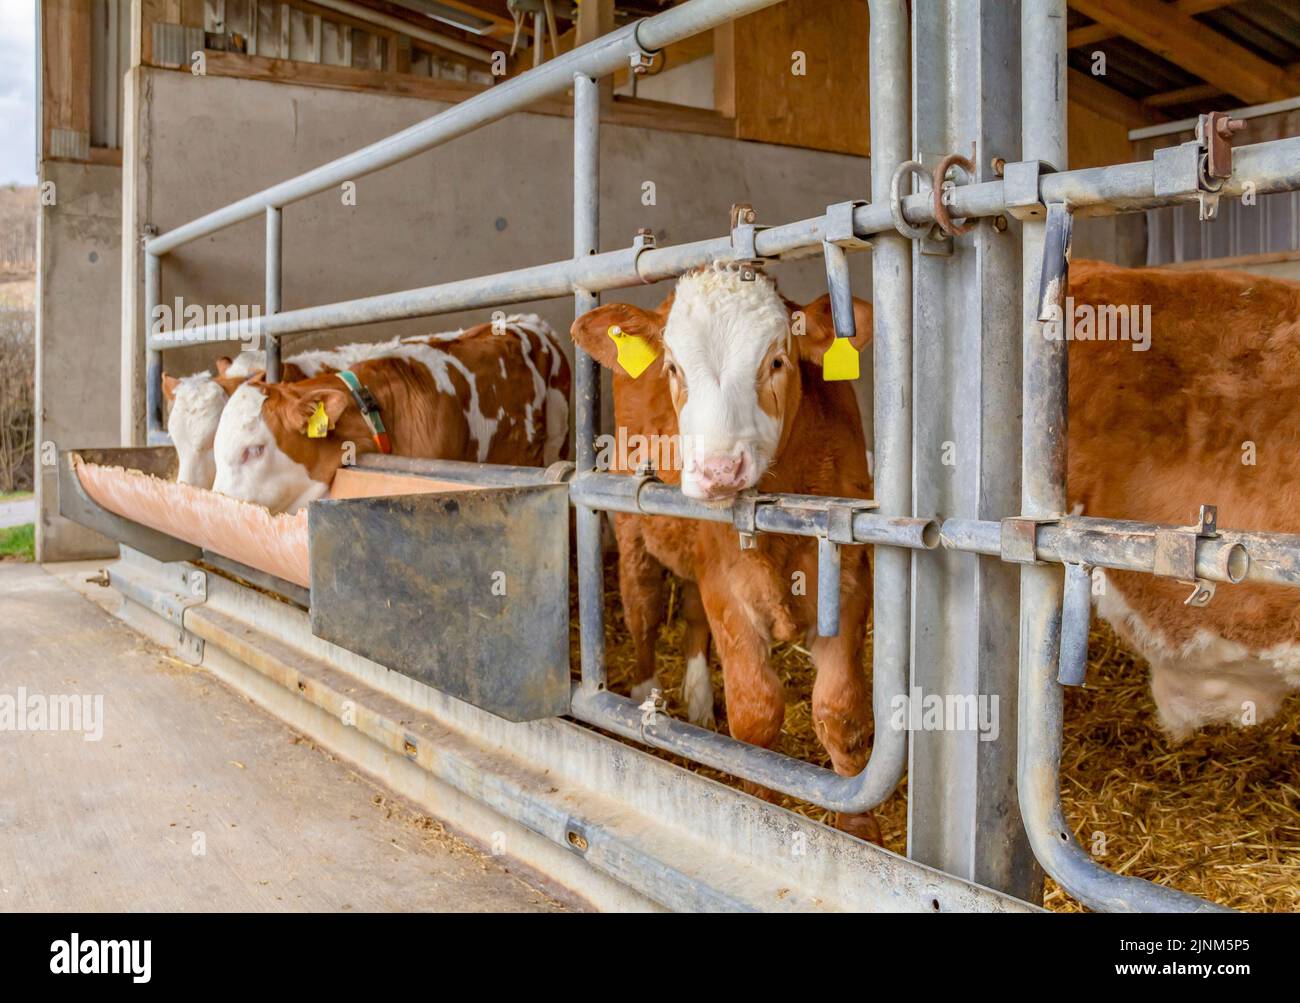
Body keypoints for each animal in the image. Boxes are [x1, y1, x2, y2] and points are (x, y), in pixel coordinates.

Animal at [571, 263, 880, 841]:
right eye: (673, 368)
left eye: (776, 360)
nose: (717, 470)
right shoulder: (728, 589)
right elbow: (756, 714)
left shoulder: (850, 579)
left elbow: (842, 713)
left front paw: (862, 836)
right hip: (631, 527)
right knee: (644, 610)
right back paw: (647, 694)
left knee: (691, 613)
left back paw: (696, 698)